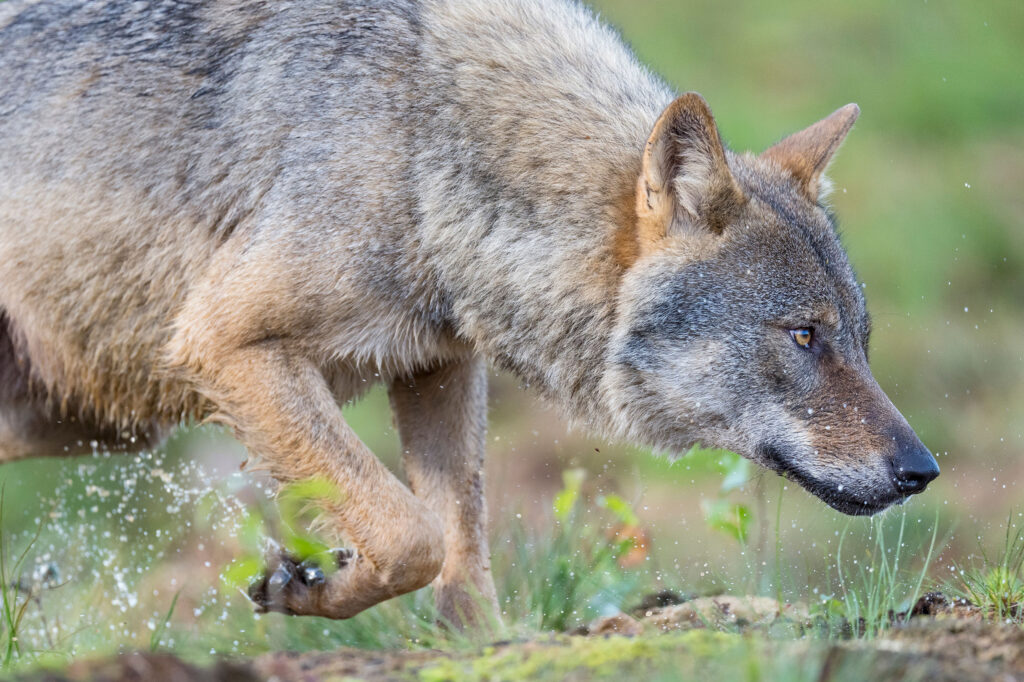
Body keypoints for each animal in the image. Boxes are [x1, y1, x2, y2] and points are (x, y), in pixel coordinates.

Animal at [0, 0, 937, 626]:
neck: (424, 146)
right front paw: (308, 584)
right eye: (804, 336)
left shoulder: (437, 365)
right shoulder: (226, 343)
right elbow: (409, 533)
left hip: (81, 423)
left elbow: (459, 555)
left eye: (859, 340)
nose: (921, 470)